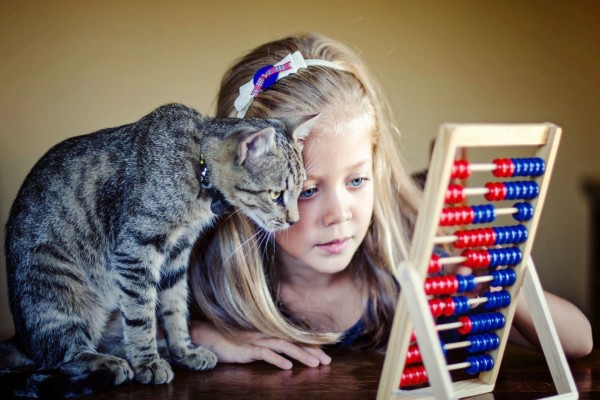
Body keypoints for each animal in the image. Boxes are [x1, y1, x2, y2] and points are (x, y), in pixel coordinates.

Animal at [0, 103, 316, 396]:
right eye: (276, 194)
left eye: (301, 192)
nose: (294, 220)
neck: (197, 170)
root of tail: (20, 339)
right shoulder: (136, 251)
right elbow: (142, 315)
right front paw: (147, 362)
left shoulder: (177, 254)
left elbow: (175, 307)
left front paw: (184, 351)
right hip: (59, 284)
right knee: (63, 355)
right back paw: (111, 362)